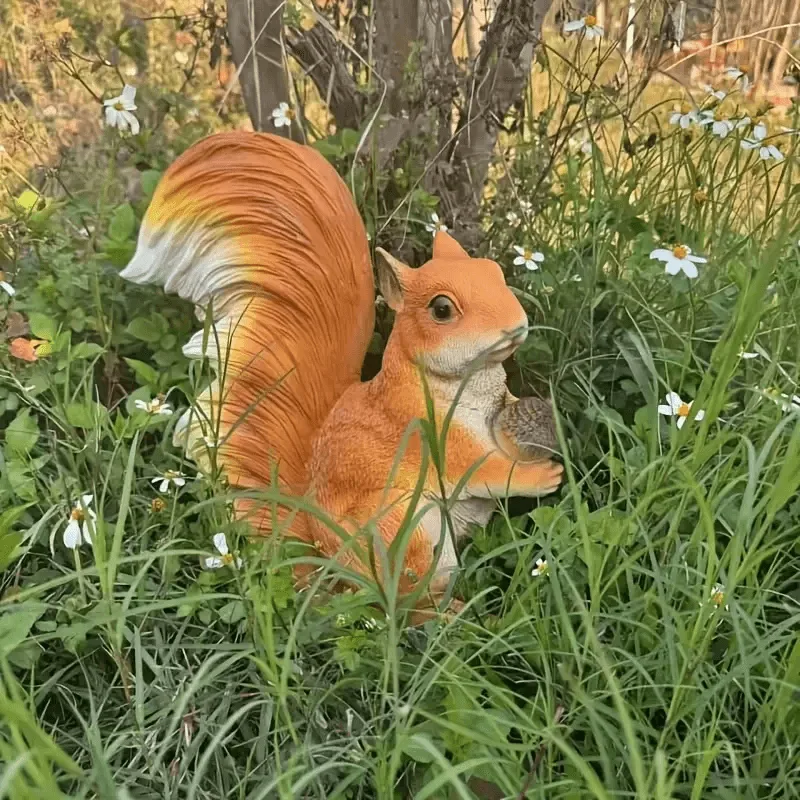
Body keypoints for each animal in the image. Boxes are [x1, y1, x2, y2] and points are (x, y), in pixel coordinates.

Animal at [121, 131, 563, 617]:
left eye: (496, 271)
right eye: (442, 309)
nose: (516, 322)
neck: (472, 385)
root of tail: (326, 571)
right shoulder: (431, 433)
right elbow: (485, 471)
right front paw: (542, 478)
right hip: (402, 527)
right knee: (405, 602)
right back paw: (447, 613)